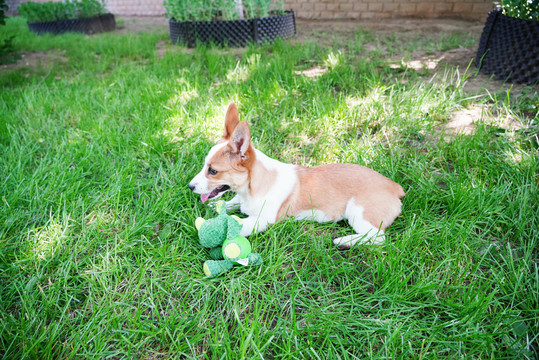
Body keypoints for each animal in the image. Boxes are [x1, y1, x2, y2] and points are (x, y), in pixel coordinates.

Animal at [190, 103, 404, 248]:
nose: (190, 187)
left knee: (377, 237)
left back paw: (345, 241)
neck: (251, 188)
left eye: (213, 171)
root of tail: (395, 187)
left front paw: (208, 227)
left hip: (358, 213)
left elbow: (235, 224)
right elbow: (231, 202)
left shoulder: (261, 221)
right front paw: (218, 205)